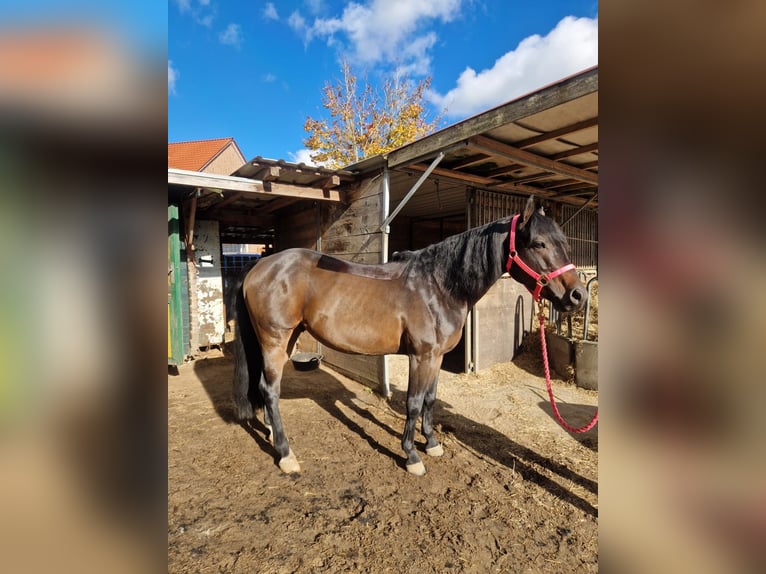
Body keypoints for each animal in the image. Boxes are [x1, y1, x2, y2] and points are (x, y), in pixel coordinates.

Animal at [231, 195, 587, 476]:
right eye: (538, 243)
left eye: (565, 243)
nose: (578, 295)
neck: (438, 286)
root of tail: (260, 265)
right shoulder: (422, 355)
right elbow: (414, 403)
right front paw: (412, 455)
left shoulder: (437, 357)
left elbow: (430, 399)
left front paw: (431, 443)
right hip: (275, 340)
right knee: (270, 389)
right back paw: (286, 454)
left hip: (285, 339)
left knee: (264, 389)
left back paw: (269, 433)